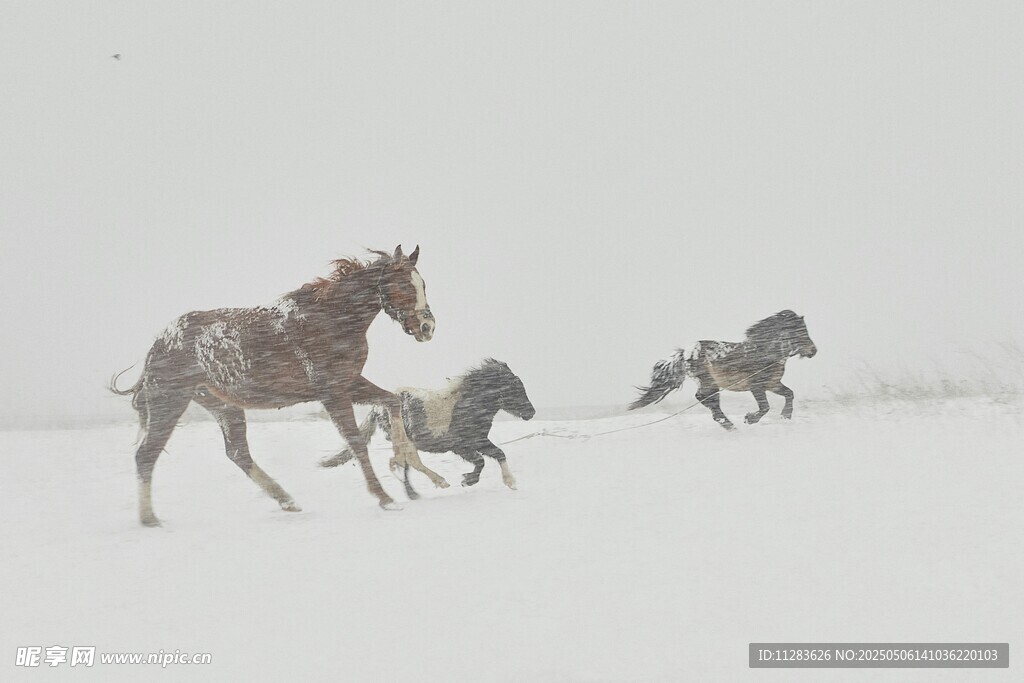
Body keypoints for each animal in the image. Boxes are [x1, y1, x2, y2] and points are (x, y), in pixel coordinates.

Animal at [110, 245, 446, 525]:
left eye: (423, 284)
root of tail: (158, 344)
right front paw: (386, 498)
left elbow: (392, 402)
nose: (427, 328)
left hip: (223, 405)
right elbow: (356, 442)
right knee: (146, 454)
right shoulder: (332, 392)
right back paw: (149, 519)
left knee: (237, 453)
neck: (331, 319)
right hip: (170, 401)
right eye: (403, 285)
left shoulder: (350, 382)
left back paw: (287, 501)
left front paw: (418, 470)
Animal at [321, 359, 535, 498]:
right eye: (515, 388)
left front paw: (509, 482)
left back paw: (413, 494)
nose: (531, 413)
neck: (467, 405)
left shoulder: (478, 440)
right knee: (411, 462)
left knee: (404, 464)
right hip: (407, 441)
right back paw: (440, 482)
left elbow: (498, 453)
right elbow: (482, 460)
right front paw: (469, 480)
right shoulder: (462, 445)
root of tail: (376, 408)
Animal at [629, 310, 817, 430]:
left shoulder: (773, 384)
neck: (765, 353)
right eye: (801, 330)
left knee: (706, 400)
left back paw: (727, 424)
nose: (813, 351)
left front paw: (786, 416)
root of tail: (685, 353)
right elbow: (765, 407)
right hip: (709, 382)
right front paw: (749, 419)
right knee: (705, 399)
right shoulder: (756, 386)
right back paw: (729, 425)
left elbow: (789, 394)